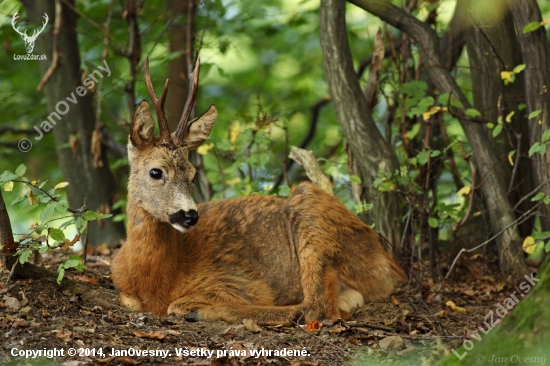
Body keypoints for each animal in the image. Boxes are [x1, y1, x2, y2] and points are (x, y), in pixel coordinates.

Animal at [111, 56, 406, 324]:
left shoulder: (239, 282)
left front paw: (196, 307)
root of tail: (391, 264)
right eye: (156, 172)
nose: (190, 215)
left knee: (318, 305)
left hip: (311, 212)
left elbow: (180, 304)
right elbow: (127, 299)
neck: (158, 282)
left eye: (193, 175)